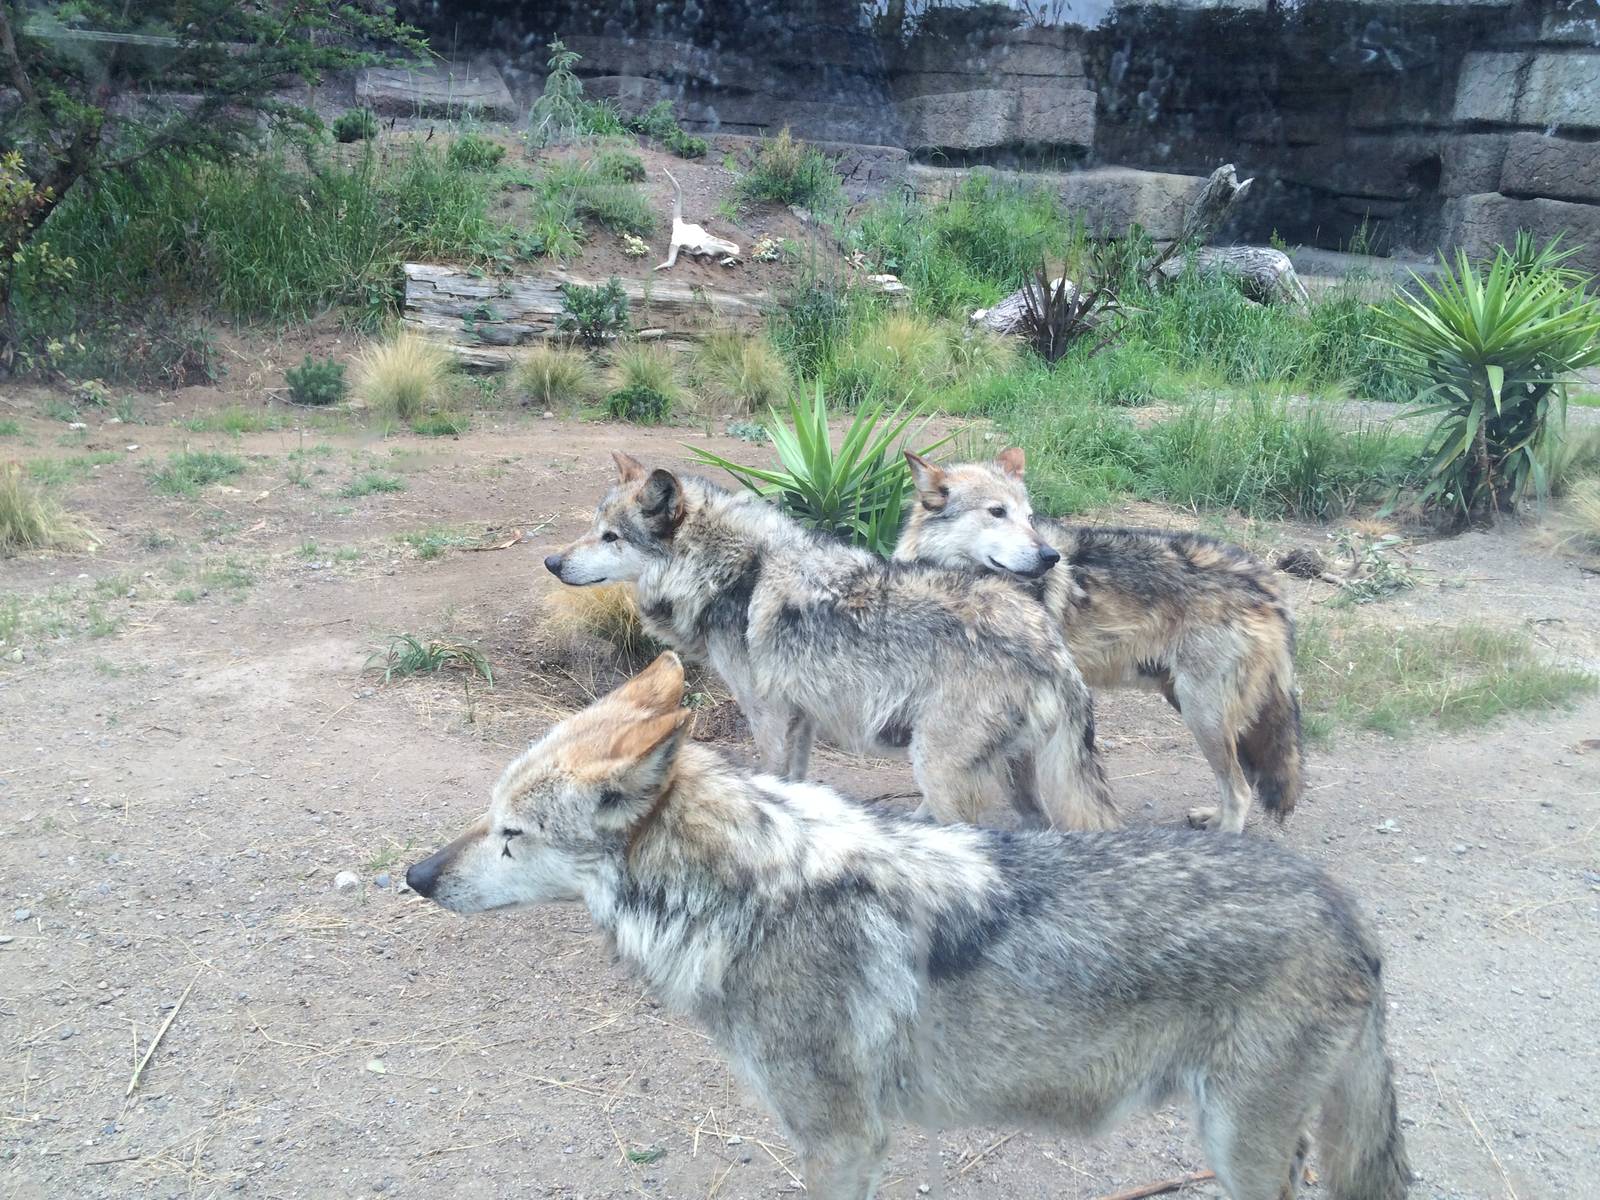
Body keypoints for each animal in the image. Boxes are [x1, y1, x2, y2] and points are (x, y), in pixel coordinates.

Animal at [406, 653, 1411, 1200]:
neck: (740, 897)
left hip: (1239, 1144)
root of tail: (1349, 914)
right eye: (490, 818)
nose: (413, 877)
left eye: (513, 835)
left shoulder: (845, 1140)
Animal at [542, 452, 1118, 831]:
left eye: (611, 537)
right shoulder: (801, 719)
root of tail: (1051, 647)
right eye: (593, 529)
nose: (551, 562)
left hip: (938, 768)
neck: (735, 571)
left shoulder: (769, 716)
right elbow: (794, 786)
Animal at [894, 448, 1303, 834]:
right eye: (997, 512)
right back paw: (1211, 819)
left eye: (1028, 517)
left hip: (1202, 714)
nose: (1050, 557)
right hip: (1191, 706)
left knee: (1240, 790)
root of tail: (1268, 584)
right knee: (1236, 782)